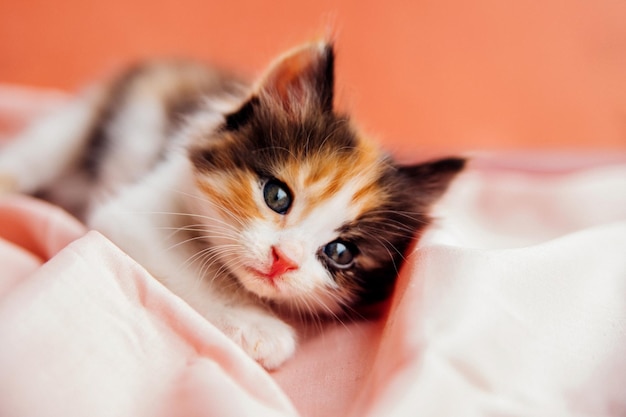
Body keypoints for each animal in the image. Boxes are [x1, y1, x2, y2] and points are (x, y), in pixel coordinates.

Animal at [0, 40, 464, 368]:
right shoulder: (136, 209)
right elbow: (188, 266)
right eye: (277, 196)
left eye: (340, 252)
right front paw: (259, 328)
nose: (283, 260)